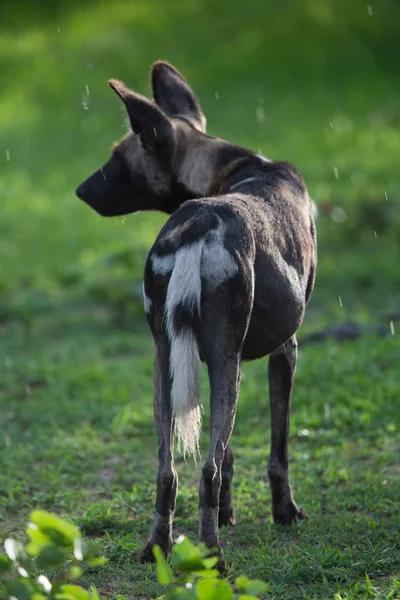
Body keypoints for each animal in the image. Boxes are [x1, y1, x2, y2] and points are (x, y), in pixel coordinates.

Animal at [76, 59, 318, 568]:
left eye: (116, 158)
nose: (81, 190)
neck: (232, 168)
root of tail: (197, 226)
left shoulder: (216, 360)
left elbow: (226, 455)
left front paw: (227, 514)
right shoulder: (283, 350)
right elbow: (276, 451)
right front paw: (284, 513)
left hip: (167, 365)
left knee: (168, 471)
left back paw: (157, 549)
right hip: (226, 364)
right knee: (204, 470)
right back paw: (214, 557)